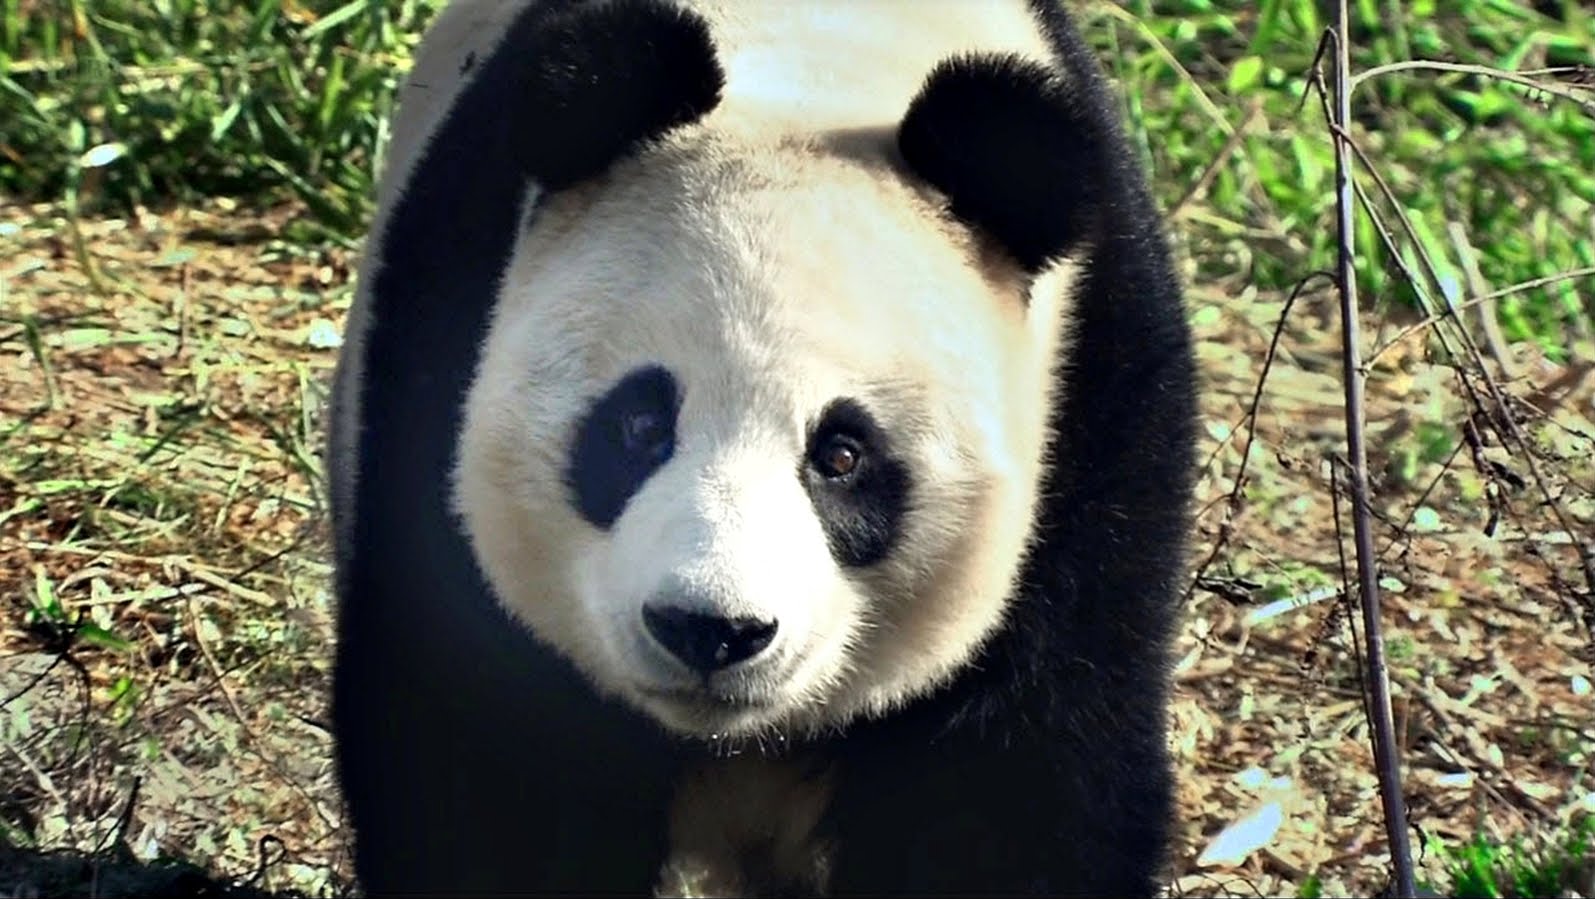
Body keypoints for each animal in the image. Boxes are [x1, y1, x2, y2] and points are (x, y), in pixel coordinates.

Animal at [326, 0, 1197, 895]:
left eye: (842, 455)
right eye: (640, 426)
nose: (709, 628)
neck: (821, 62)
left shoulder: (1097, 423)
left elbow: (1018, 791)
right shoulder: (434, 359)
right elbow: (490, 777)